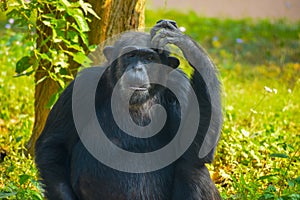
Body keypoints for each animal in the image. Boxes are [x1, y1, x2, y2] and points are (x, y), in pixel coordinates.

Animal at [35, 20, 223, 200]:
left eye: (149, 58)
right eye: (131, 55)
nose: (137, 68)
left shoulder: (180, 87)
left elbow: (195, 149)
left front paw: (185, 43)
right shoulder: (83, 86)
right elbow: (54, 145)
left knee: (192, 167)